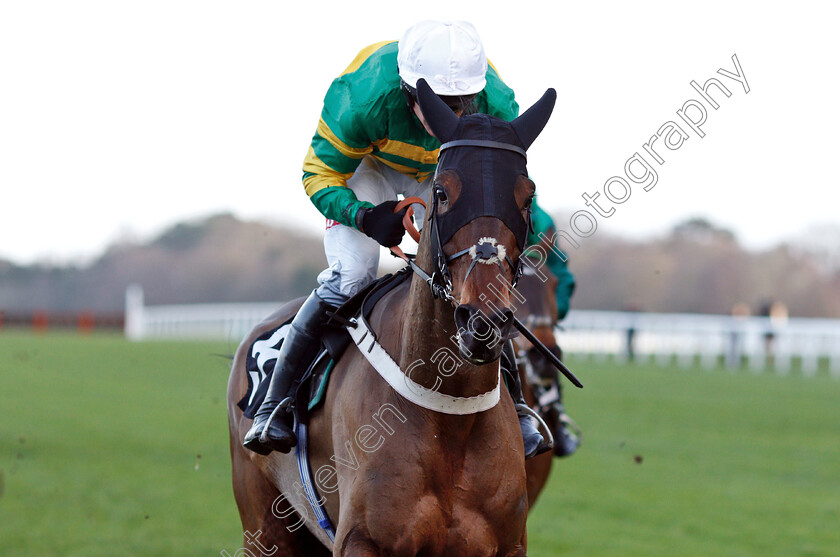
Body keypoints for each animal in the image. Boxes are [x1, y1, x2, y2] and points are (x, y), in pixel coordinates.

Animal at [226, 79, 556, 556]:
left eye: (526, 195)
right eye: (442, 192)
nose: (482, 321)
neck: (450, 416)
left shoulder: (508, 543)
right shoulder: (362, 541)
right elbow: (321, 170)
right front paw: (380, 222)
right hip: (264, 526)